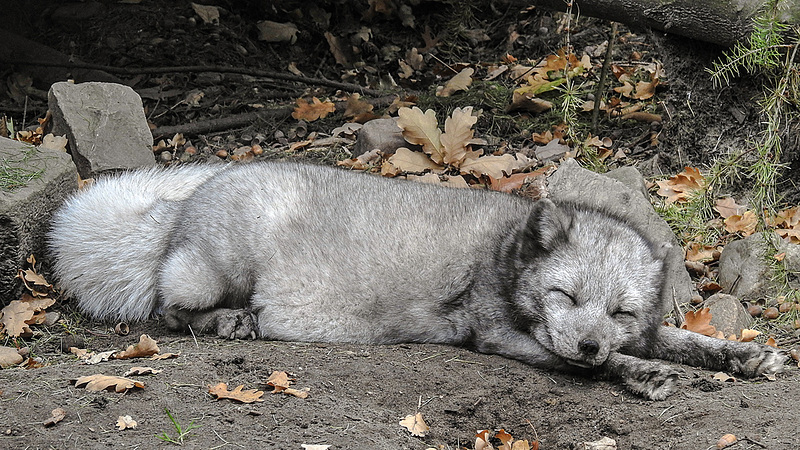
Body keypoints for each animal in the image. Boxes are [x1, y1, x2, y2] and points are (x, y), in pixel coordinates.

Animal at [47, 161, 784, 398]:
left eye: (622, 312)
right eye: (566, 296)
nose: (591, 343)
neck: (503, 253)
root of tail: (185, 200)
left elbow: (685, 343)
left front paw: (743, 356)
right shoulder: (498, 337)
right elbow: (598, 369)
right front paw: (638, 374)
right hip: (213, 272)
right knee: (168, 310)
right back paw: (230, 321)